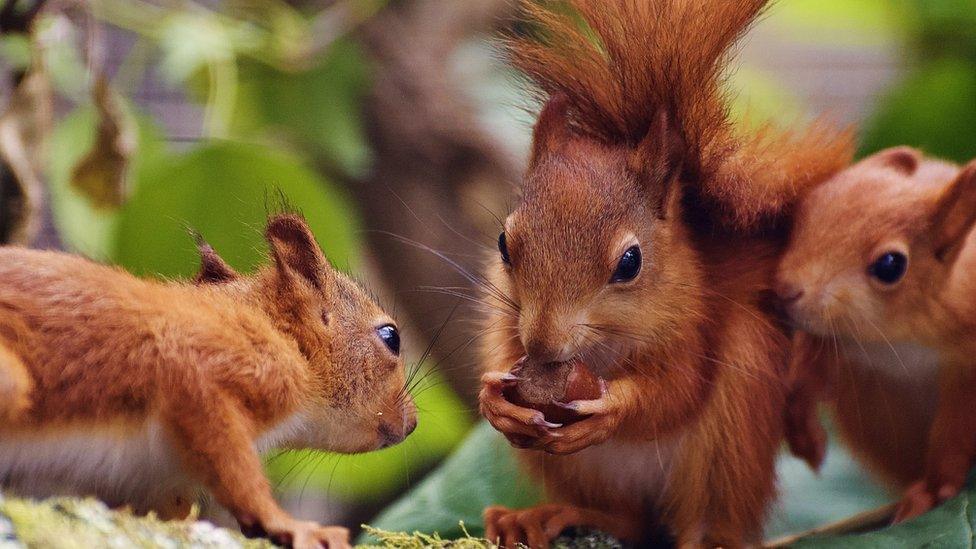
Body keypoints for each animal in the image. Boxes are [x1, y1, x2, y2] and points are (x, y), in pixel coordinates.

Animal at [0, 212, 416, 544]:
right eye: (391, 337)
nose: (412, 423)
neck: (277, 334)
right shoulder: (207, 371)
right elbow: (234, 467)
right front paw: (286, 523)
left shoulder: (149, 478)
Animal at [476, 2, 852, 544]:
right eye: (504, 243)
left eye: (631, 262)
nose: (544, 346)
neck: (601, 348)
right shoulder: (506, 320)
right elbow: (502, 355)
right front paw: (495, 401)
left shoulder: (692, 326)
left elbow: (677, 392)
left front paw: (614, 407)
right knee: (627, 518)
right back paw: (542, 515)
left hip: (732, 431)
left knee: (709, 513)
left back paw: (706, 537)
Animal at [780, 147, 976, 524]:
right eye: (799, 216)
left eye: (890, 265)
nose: (784, 290)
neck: (899, 336)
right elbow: (809, 365)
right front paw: (800, 424)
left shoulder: (966, 364)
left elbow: (957, 430)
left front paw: (932, 491)